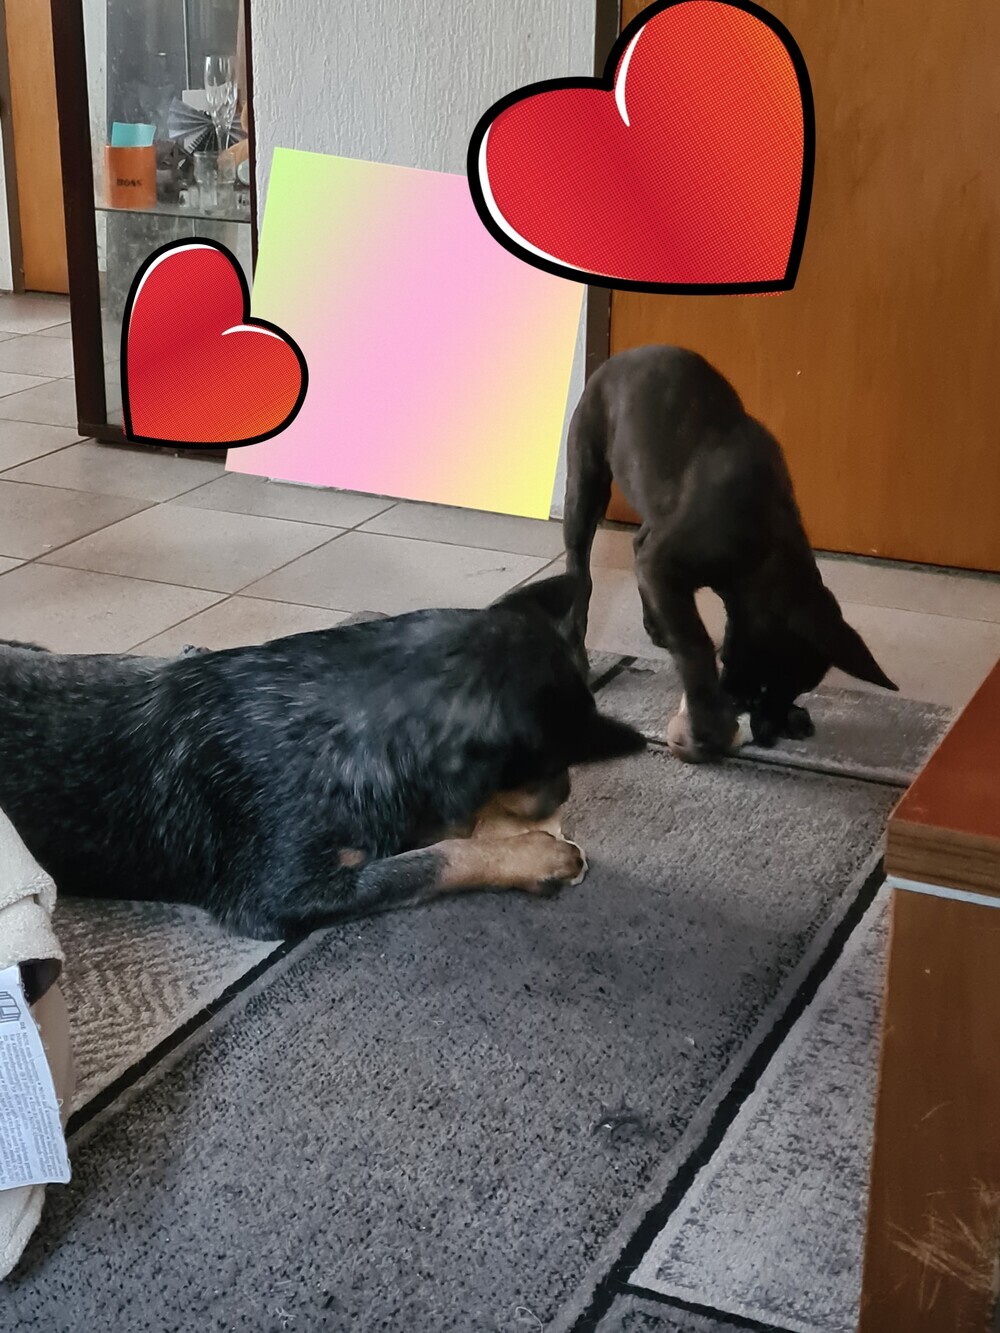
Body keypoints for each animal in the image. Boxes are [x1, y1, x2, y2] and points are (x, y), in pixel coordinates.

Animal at [563, 345, 897, 762]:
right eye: (763, 689)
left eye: (796, 689)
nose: (768, 735)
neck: (765, 548)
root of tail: (621, 357)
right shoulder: (663, 564)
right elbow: (694, 642)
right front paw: (707, 722)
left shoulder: (664, 562)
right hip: (587, 479)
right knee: (580, 572)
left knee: (638, 542)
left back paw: (654, 624)